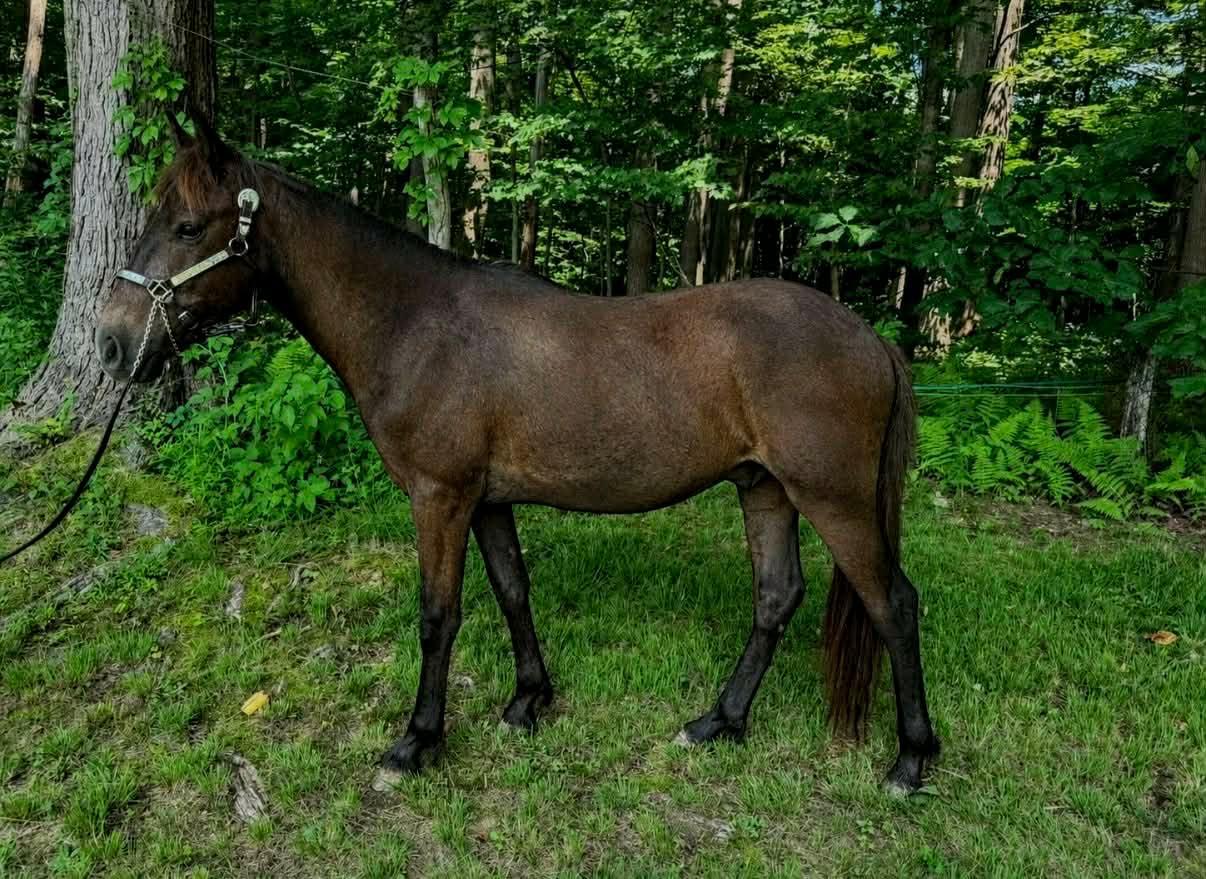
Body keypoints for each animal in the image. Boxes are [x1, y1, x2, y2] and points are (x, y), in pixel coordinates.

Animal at [96, 117, 939, 795]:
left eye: (187, 226)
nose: (112, 344)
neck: (413, 323)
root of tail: (871, 339)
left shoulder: (439, 495)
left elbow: (439, 614)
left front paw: (417, 741)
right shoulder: (488, 498)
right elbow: (512, 592)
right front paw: (528, 700)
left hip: (833, 497)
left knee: (894, 603)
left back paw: (909, 760)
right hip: (763, 487)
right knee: (775, 597)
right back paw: (718, 721)